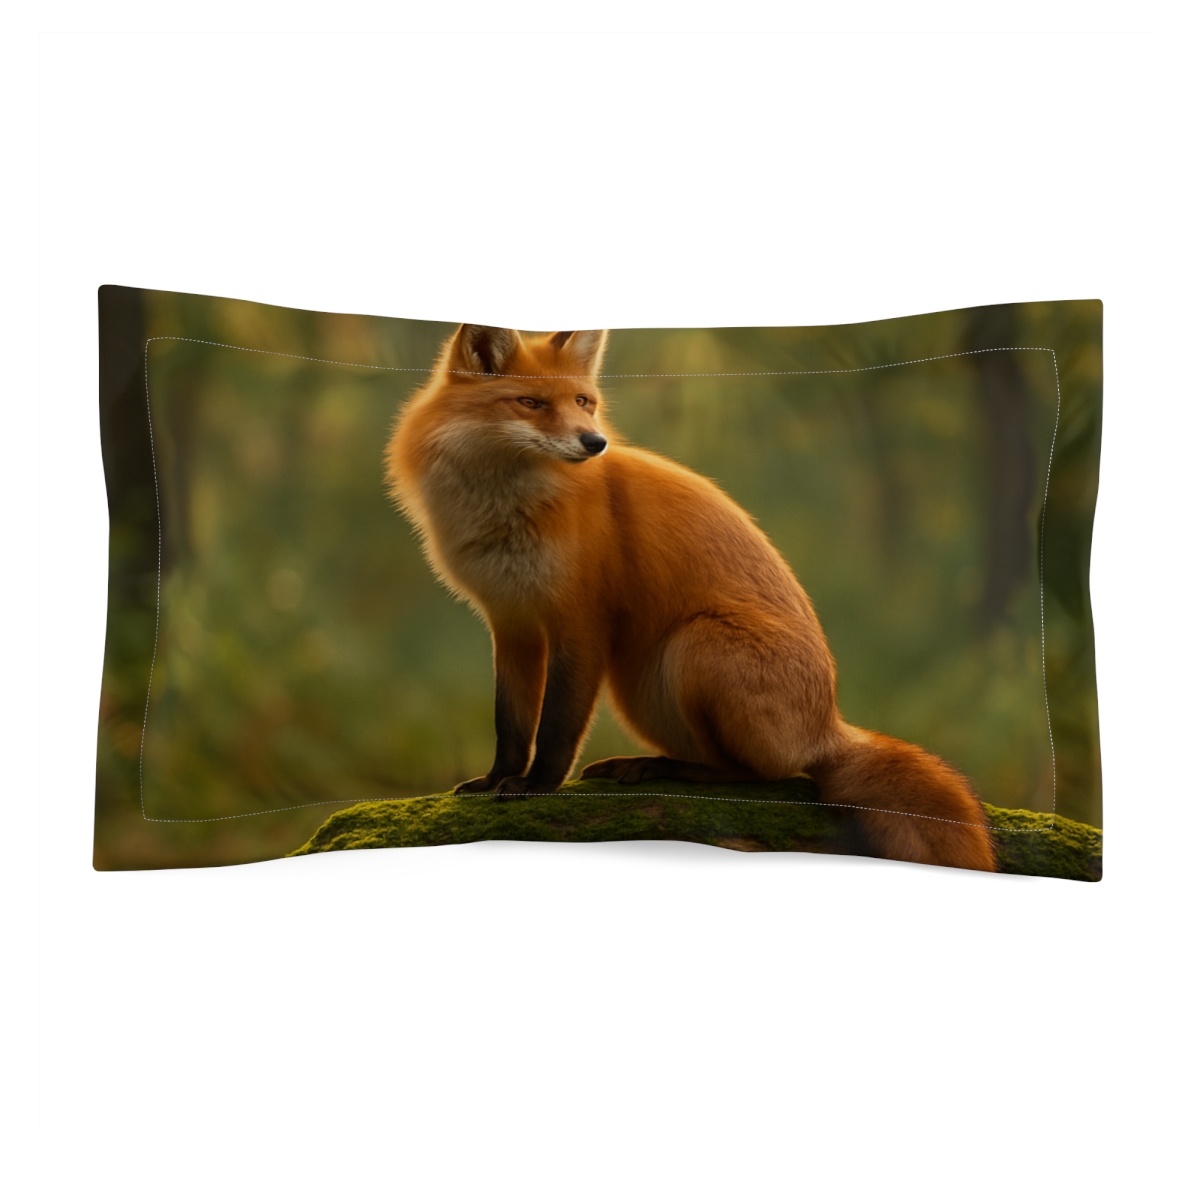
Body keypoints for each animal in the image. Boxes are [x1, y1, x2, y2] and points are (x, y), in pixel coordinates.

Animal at [385, 323, 997, 872]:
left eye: (584, 402)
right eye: (531, 403)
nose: (594, 442)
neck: (507, 511)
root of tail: (827, 727)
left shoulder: (581, 621)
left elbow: (557, 726)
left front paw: (536, 787)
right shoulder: (511, 622)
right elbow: (509, 722)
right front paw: (496, 778)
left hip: (695, 645)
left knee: (769, 775)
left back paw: (668, 770)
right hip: (638, 684)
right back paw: (652, 763)